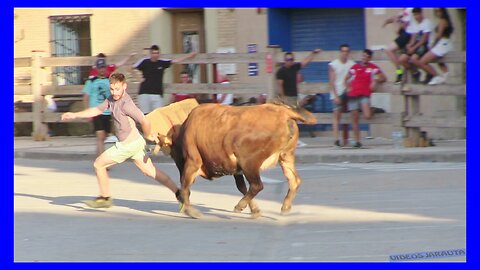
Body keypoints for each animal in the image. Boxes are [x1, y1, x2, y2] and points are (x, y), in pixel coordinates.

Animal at [157, 102, 316, 218]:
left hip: (249, 163)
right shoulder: (236, 169)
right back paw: (285, 206)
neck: (186, 130)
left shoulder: (193, 161)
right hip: (285, 156)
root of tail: (284, 112)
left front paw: (189, 210)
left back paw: (240, 205)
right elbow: (241, 187)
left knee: (257, 185)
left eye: (173, 153)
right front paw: (255, 209)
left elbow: (185, 184)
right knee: (294, 180)